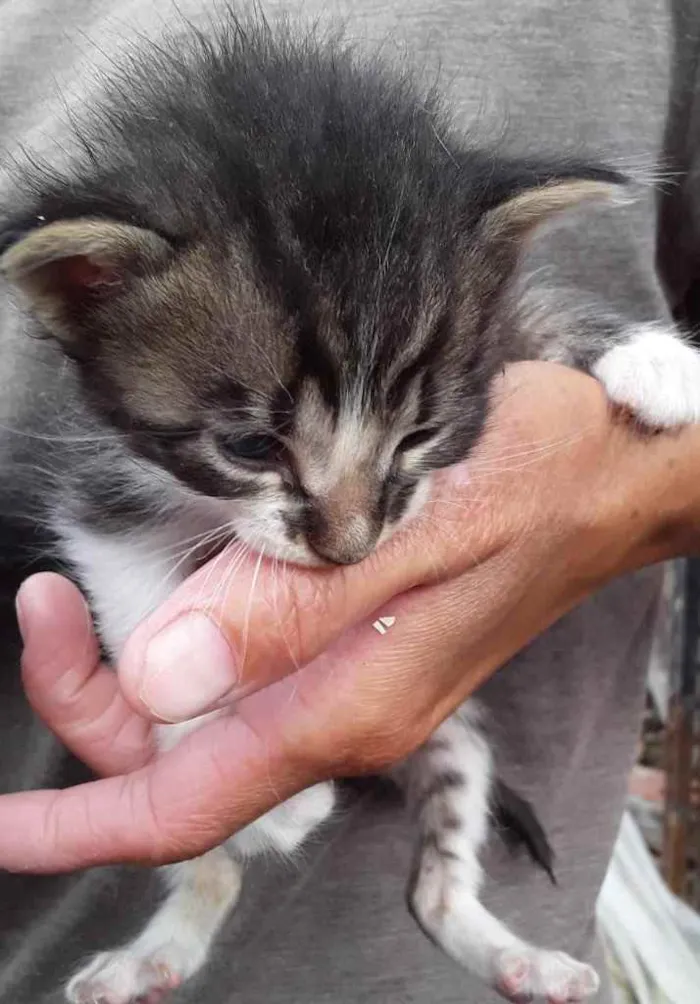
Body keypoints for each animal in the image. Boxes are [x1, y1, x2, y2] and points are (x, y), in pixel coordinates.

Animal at [5, 13, 698, 1003]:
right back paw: (158, 951)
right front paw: (236, 757)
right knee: (216, 871)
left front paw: (658, 358)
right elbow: (145, 623)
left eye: (421, 434)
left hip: (458, 749)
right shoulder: (101, 483)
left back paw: (520, 960)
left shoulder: (498, 335)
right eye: (250, 447)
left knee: (434, 893)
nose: (350, 548)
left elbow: (544, 310)